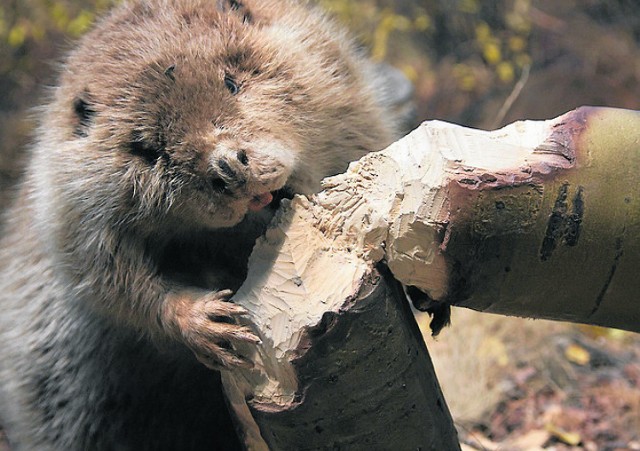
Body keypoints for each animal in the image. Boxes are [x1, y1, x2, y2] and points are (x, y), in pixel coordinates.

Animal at [0, 0, 404, 448]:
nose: (228, 168)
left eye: (232, 82)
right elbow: (109, 280)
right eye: (147, 148)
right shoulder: (68, 208)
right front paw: (210, 324)